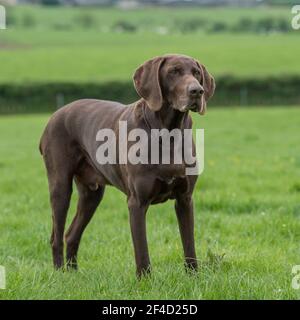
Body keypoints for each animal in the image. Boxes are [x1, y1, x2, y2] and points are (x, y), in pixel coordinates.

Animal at [39, 53, 216, 276]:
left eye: (197, 73)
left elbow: (189, 245)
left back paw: (73, 274)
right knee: (56, 236)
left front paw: (193, 277)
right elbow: (142, 251)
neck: (167, 134)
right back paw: (59, 274)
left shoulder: (185, 199)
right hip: (60, 187)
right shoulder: (137, 202)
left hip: (91, 195)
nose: (197, 91)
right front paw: (145, 280)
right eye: (173, 71)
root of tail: (54, 115)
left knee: (71, 234)